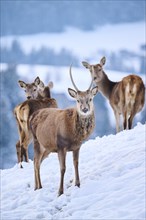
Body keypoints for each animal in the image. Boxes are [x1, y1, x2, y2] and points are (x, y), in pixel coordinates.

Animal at [29, 65, 98, 196]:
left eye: (90, 99)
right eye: (78, 100)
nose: (85, 109)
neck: (73, 134)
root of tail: (32, 116)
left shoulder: (77, 146)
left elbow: (76, 164)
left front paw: (77, 184)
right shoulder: (61, 145)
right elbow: (63, 168)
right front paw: (60, 191)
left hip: (47, 147)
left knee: (37, 161)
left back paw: (36, 186)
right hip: (36, 140)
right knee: (36, 162)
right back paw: (39, 186)